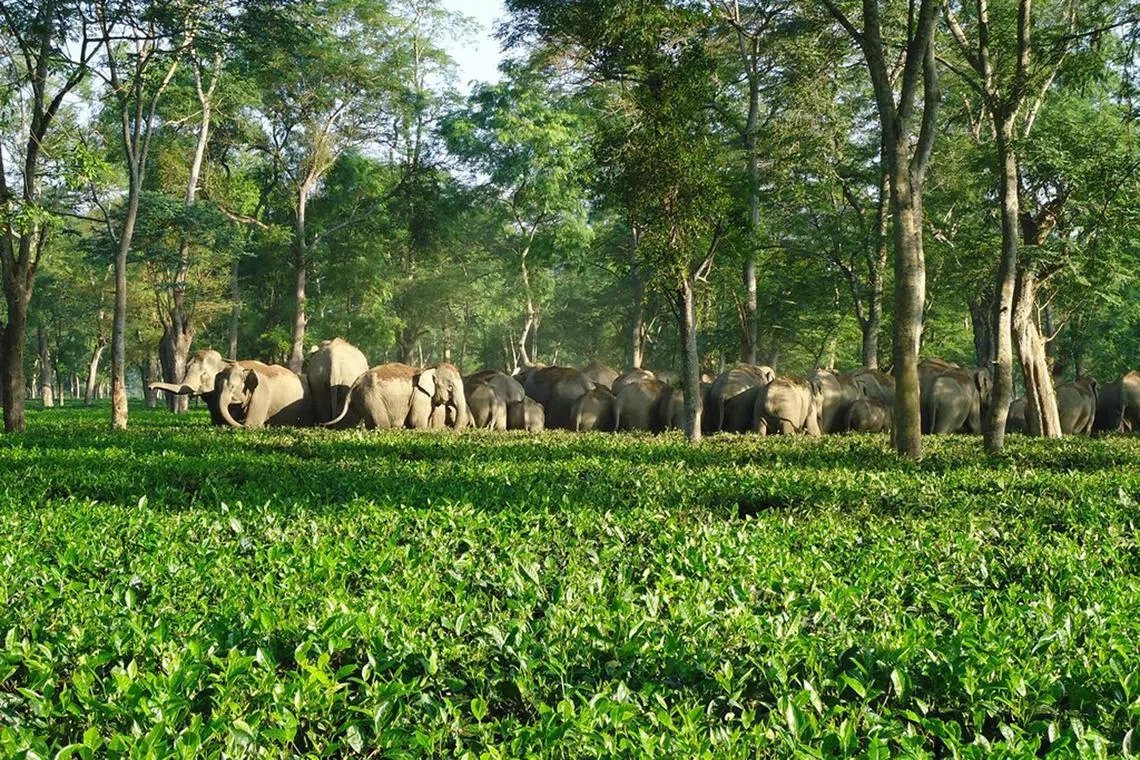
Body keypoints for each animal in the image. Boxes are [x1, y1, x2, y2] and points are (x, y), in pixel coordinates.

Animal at [326, 362, 468, 430]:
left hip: (361, 400)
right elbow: (417, 422)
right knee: (381, 424)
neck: (430, 368)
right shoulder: (420, 396)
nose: (452, 431)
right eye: (450, 387)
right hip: (371, 398)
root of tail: (355, 383)